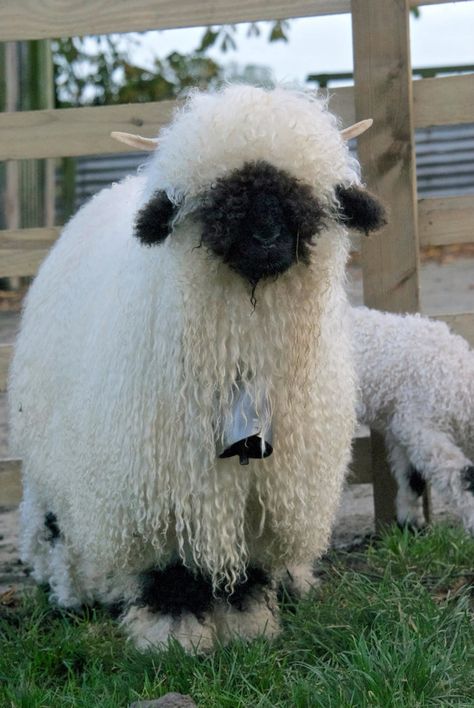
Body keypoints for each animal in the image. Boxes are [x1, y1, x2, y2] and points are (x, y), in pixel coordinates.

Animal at [7, 85, 386, 648]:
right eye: (215, 198)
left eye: (303, 194)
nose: (268, 236)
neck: (240, 352)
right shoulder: (153, 487)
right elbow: (168, 570)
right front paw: (173, 634)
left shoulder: (266, 489)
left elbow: (250, 563)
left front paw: (249, 620)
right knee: (53, 527)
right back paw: (74, 588)